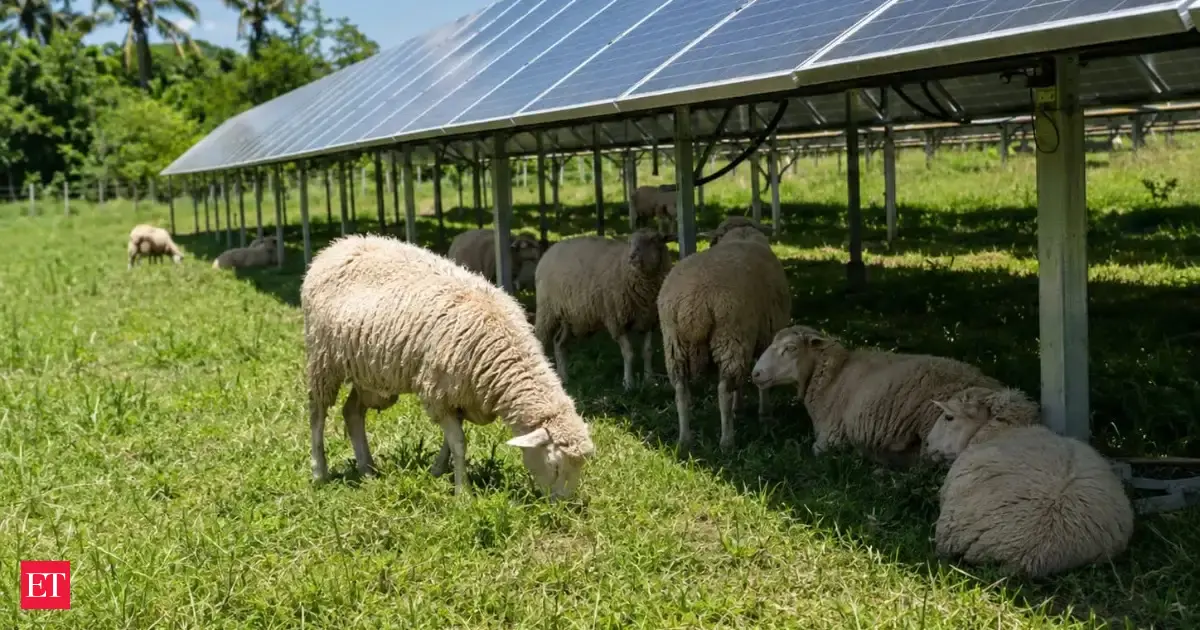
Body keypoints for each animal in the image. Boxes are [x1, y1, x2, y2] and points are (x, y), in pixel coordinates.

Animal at [301, 234, 595, 498]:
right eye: (555, 465)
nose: (565, 504)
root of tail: (335, 246)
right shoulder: (439, 392)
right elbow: (459, 443)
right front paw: (463, 493)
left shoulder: (461, 395)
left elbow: (450, 442)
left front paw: (439, 470)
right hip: (324, 360)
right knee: (317, 413)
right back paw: (319, 472)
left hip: (369, 374)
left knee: (352, 412)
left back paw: (368, 469)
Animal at [534, 228, 675, 391]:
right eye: (630, 242)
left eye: (653, 240)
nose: (632, 256)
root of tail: (550, 249)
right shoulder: (616, 320)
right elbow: (628, 353)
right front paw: (628, 383)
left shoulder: (649, 319)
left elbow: (647, 352)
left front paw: (650, 380)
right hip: (547, 310)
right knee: (540, 341)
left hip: (571, 317)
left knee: (559, 343)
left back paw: (564, 378)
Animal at [657, 216, 790, 451]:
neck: (741, 235)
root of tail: (693, 303)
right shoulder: (766, 336)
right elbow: (762, 380)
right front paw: (764, 414)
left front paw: (741, 408)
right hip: (730, 336)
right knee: (724, 390)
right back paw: (727, 441)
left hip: (674, 344)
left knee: (681, 389)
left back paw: (684, 439)